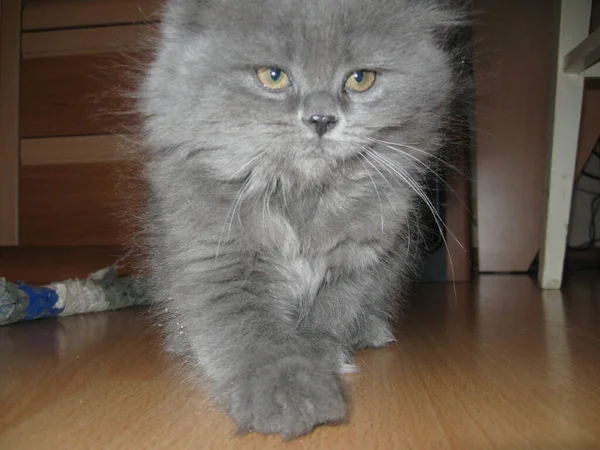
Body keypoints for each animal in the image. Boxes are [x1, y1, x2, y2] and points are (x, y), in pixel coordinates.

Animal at [137, 0, 464, 440]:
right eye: (273, 76)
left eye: (360, 79)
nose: (322, 119)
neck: (303, 196)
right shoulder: (220, 261)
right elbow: (254, 337)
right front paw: (291, 394)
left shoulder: (356, 263)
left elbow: (328, 315)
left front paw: (319, 352)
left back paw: (369, 330)